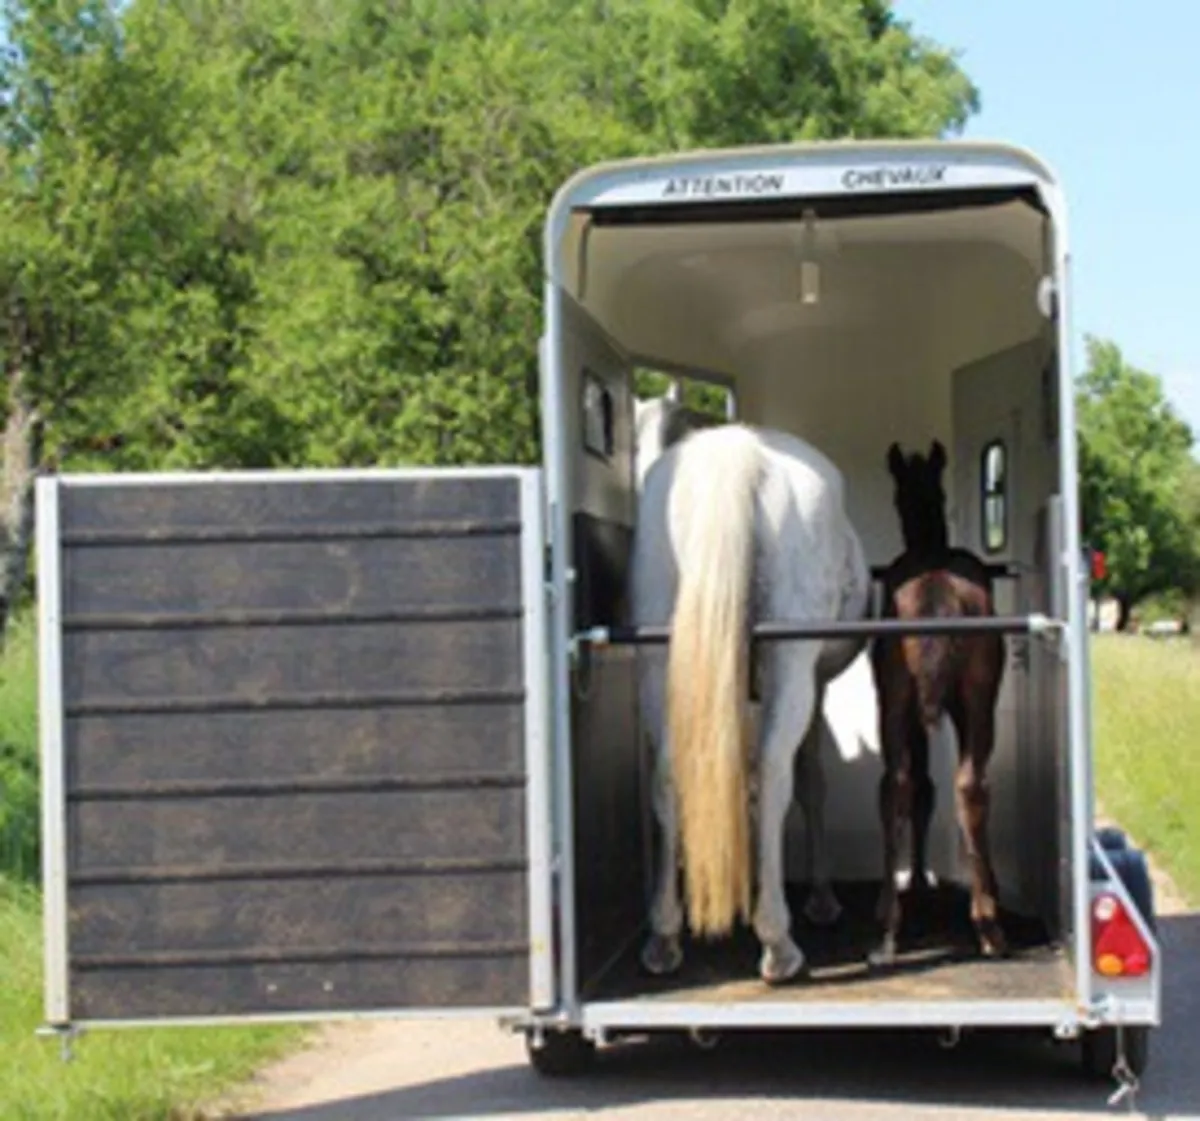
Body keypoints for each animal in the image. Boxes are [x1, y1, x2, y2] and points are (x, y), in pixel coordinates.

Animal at [630, 396, 871, 985]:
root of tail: (736, 455)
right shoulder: (815, 684)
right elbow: (808, 782)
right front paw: (821, 898)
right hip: (791, 665)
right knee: (775, 772)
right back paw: (779, 941)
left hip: (658, 661)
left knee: (670, 774)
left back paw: (664, 935)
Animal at [869, 440, 1008, 965]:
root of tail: (938, 591)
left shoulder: (908, 709)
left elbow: (921, 787)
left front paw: (917, 885)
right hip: (977, 696)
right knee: (969, 784)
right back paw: (987, 921)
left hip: (897, 701)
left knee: (897, 783)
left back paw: (890, 924)